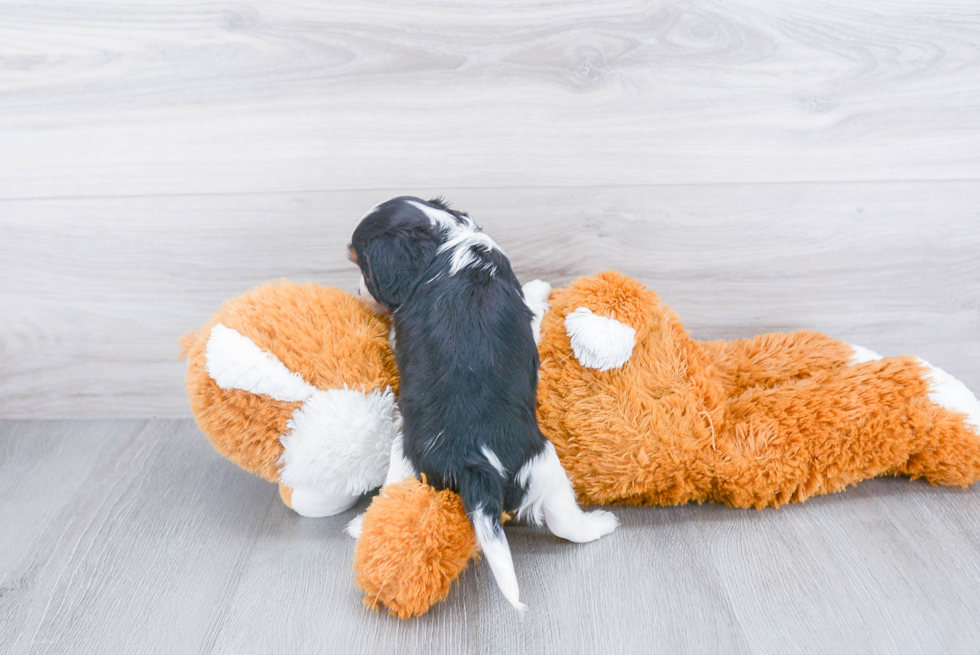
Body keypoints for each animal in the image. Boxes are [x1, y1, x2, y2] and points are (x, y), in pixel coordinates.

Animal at [348, 197, 616, 612]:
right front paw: (541, 287)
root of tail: (471, 462)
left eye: (361, 266)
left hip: (405, 454)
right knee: (564, 521)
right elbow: (532, 305)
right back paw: (601, 524)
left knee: (391, 491)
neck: (442, 240)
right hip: (542, 462)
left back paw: (362, 524)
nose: (358, 291)